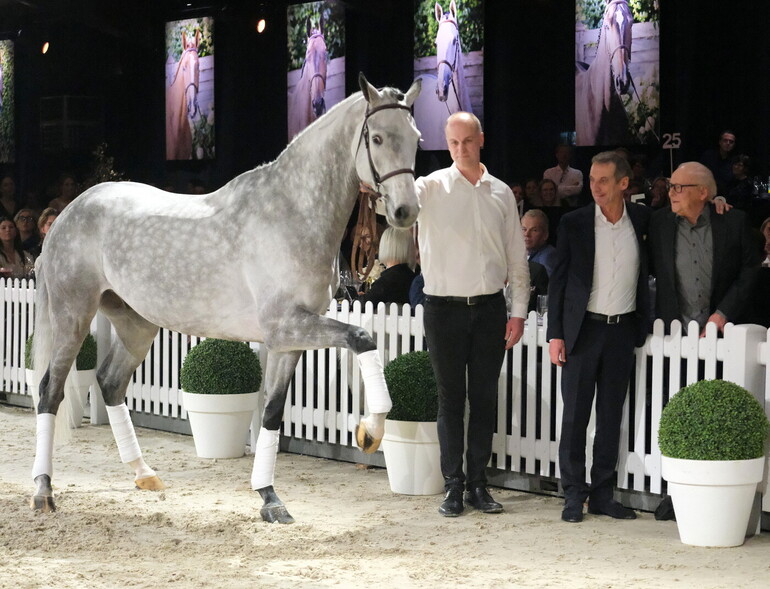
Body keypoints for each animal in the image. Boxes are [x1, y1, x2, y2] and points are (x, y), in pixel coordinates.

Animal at [30, 73, 422, 524]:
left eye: (415, 137)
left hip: (136, 323)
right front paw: (370, 431)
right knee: (49, 391)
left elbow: (272, 411)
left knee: (110, 383)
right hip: (73, 316)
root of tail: (66, 214)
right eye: (376, 138)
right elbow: (363, 337)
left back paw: (144, 474)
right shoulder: (286, 326)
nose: (406, 211)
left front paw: (270, 498)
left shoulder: (289, 339)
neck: (293, 212)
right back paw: (42, 491)